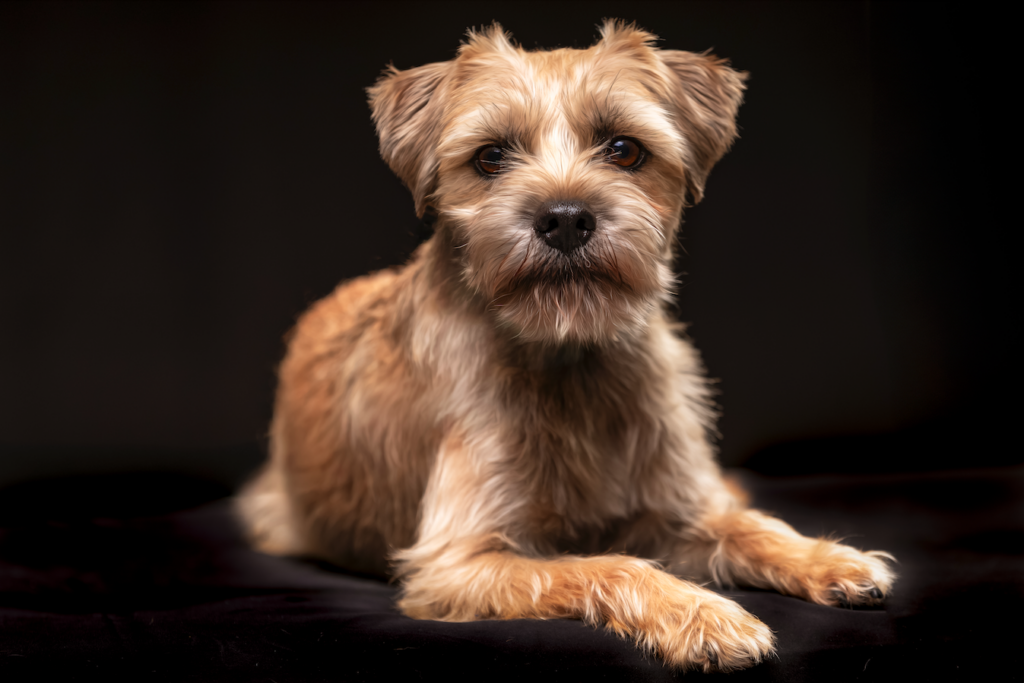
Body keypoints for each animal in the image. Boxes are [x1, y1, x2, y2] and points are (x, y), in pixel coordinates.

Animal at [235, 21, 892, 671]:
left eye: (625, 149)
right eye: (491, 157)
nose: (566, 218)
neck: (570, 353)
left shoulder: (676, 509)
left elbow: (748, 527)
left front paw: (827, 558)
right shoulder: (458, 564)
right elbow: (608, 565)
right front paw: (701, 613)